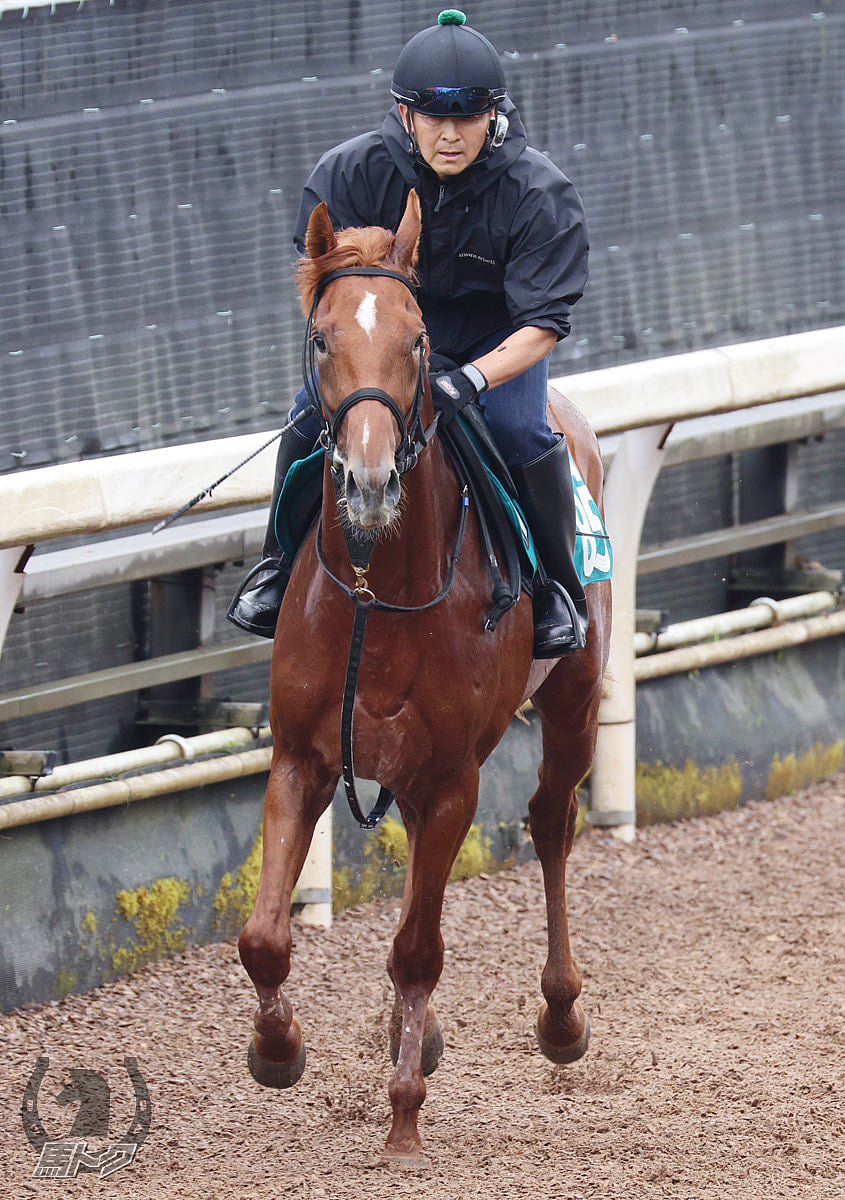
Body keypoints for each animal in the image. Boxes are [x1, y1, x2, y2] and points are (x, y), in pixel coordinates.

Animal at [238, 192, 614, 1156]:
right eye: (321, 337)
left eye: (418, 341)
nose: (369, 479)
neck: (379, 591)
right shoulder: (301, 757)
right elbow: (264, 937)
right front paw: (278, 1051)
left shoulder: (453, 780)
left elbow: (417, 946)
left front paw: (403, 1114)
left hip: (573, 701)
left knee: (550, 822)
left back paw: (560, 1017)